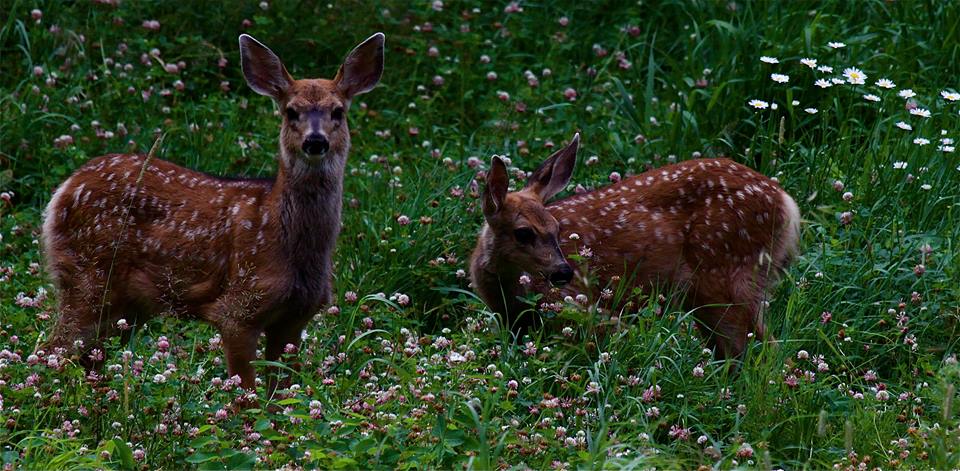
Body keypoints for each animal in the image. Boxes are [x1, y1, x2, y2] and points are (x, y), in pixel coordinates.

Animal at [40, 31, 386, 394]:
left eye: (338, 111)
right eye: (291, 112)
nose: (315, 141)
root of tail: (64, 189)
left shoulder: (296, 318)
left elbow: (281, 396)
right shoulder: (239, 308)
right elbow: (245, 396)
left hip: (126, 305)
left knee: (88, 359)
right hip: (86, 276)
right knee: (52, 352)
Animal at [468, 135, 800, 360]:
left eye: (556, 229)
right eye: (523, 233)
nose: (564, 272)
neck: (506, 295)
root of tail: (787, 204)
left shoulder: (582, 309)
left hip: (728, 276)